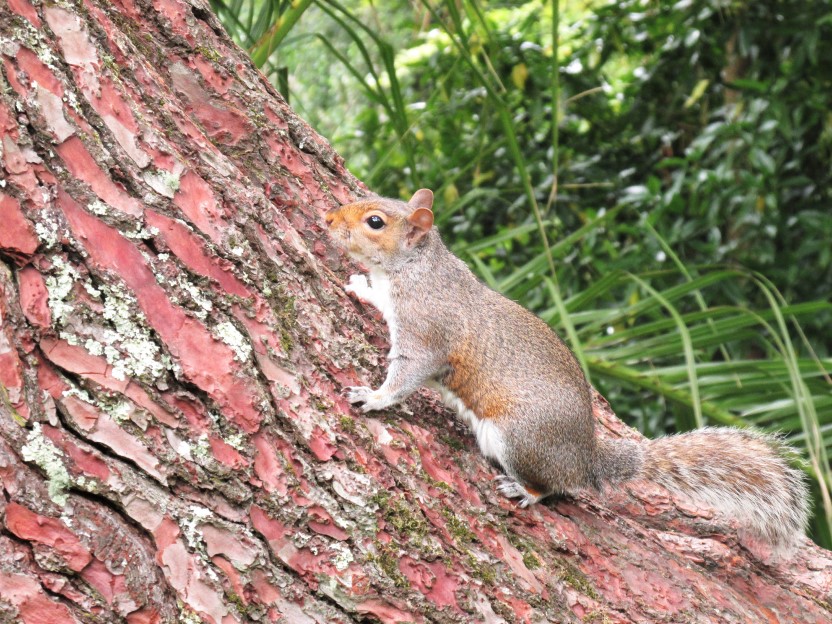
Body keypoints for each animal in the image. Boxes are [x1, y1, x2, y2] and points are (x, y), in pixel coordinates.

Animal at [325, 188, 810, 548]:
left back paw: (524, 490)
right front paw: (359, 286)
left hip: (521, 438)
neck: (415, 268)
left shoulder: (427, 331)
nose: (328, 219)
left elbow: (407, 375)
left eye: (374, 222)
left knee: (552, 487)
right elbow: (375, 298)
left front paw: (373, 397)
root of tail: (587, 459)